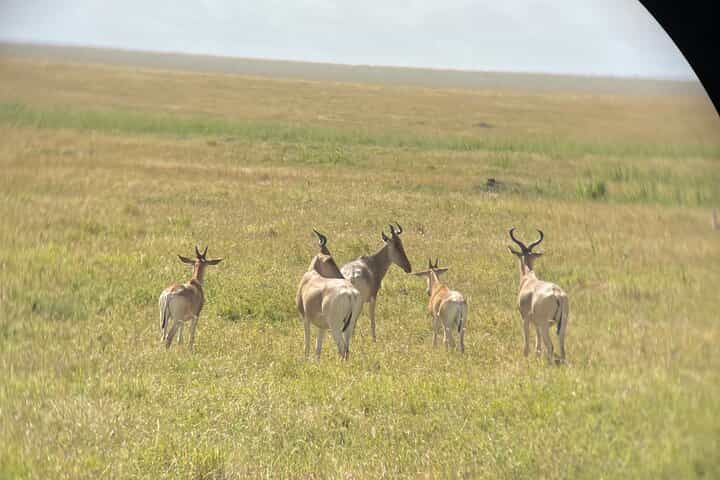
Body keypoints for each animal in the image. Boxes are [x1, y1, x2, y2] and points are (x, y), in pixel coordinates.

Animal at [296, 230, 363, 360]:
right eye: (329, 259)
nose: (342, 276)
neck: (311, 275)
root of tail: (350, 293)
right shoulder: (321, 325)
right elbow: (318, 347)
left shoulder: (305, 318)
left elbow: (307, 343)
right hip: (350, 324)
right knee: (347, 348)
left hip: (335, 326)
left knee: (342, 348)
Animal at [507, 228, 569, 364]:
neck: (529, 279)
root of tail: (557, 293)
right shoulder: (536, 323)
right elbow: (538, 343)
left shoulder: (525, 318)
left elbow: (527, 343)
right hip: (562, 323)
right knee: (562, 346)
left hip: (545, 324)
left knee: (550, 346)